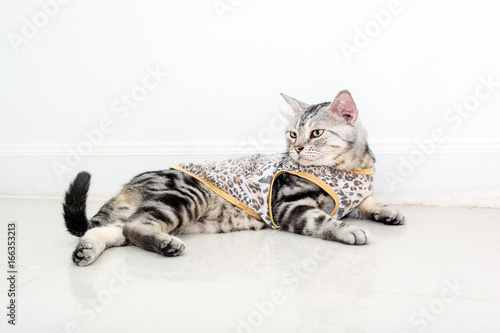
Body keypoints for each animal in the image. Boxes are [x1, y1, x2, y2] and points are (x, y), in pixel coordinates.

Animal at [63, 89, 406, 266]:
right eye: (293, 134)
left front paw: (389, 212)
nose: (295, 148)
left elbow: (369, 202)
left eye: (317, 133)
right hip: (185, 195)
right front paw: (349, 230)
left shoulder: (353, 198)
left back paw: (86, 251)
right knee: (134, 227)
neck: (348, 169)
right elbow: (324, 219)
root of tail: (128, 186)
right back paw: (165, 245)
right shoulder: (289, 206)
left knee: (108, 230)